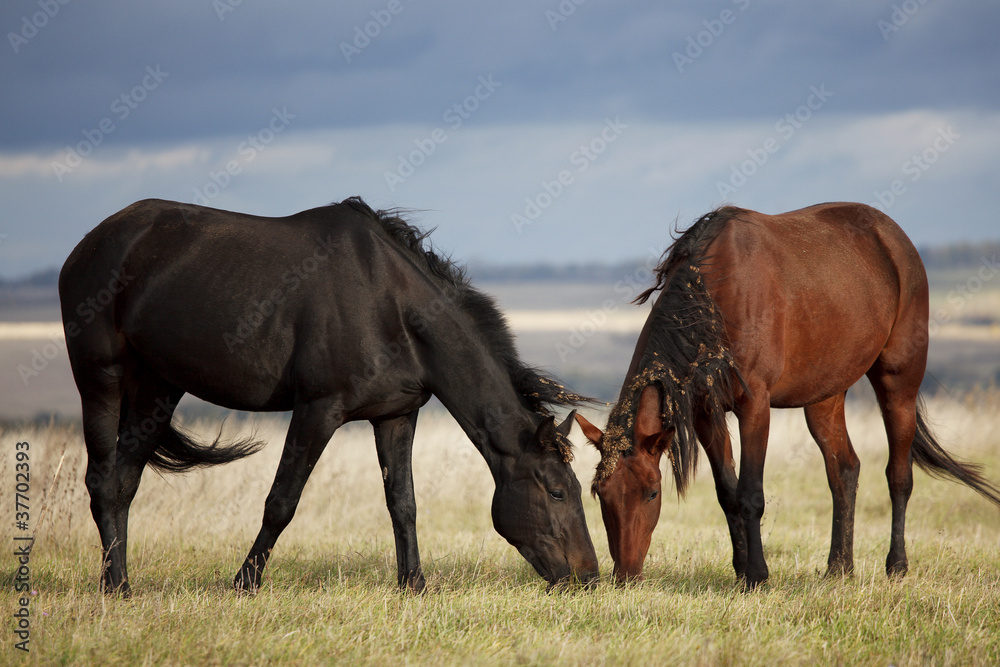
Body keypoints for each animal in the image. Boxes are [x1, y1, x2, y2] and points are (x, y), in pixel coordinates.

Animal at [58, 197, 596, 596]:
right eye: (557, 491)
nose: (588, 576)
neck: (390, 306)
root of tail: (89, 246)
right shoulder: (317, 410)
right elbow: (282, 501)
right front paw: (244, 583)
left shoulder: (396, 416)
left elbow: (403, 503)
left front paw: (414, 585)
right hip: (100, 378)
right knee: (102, 479)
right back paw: (114, 588)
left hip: (159, 387)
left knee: (124, 483)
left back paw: (120, 582)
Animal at [576, 204, 1000, 588]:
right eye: (601, 495)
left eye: (652, 493)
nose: (625, 576)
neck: (714, 300)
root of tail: (895, 240)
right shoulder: (706, 415)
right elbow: (727, 493)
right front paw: (741, 569)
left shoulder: (755, 408)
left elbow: (750, 493)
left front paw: (757, 576)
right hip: (825, 396)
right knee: (844, 469)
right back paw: (839, 567)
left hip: (899, 383)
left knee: (899, 475)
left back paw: (896, 566)